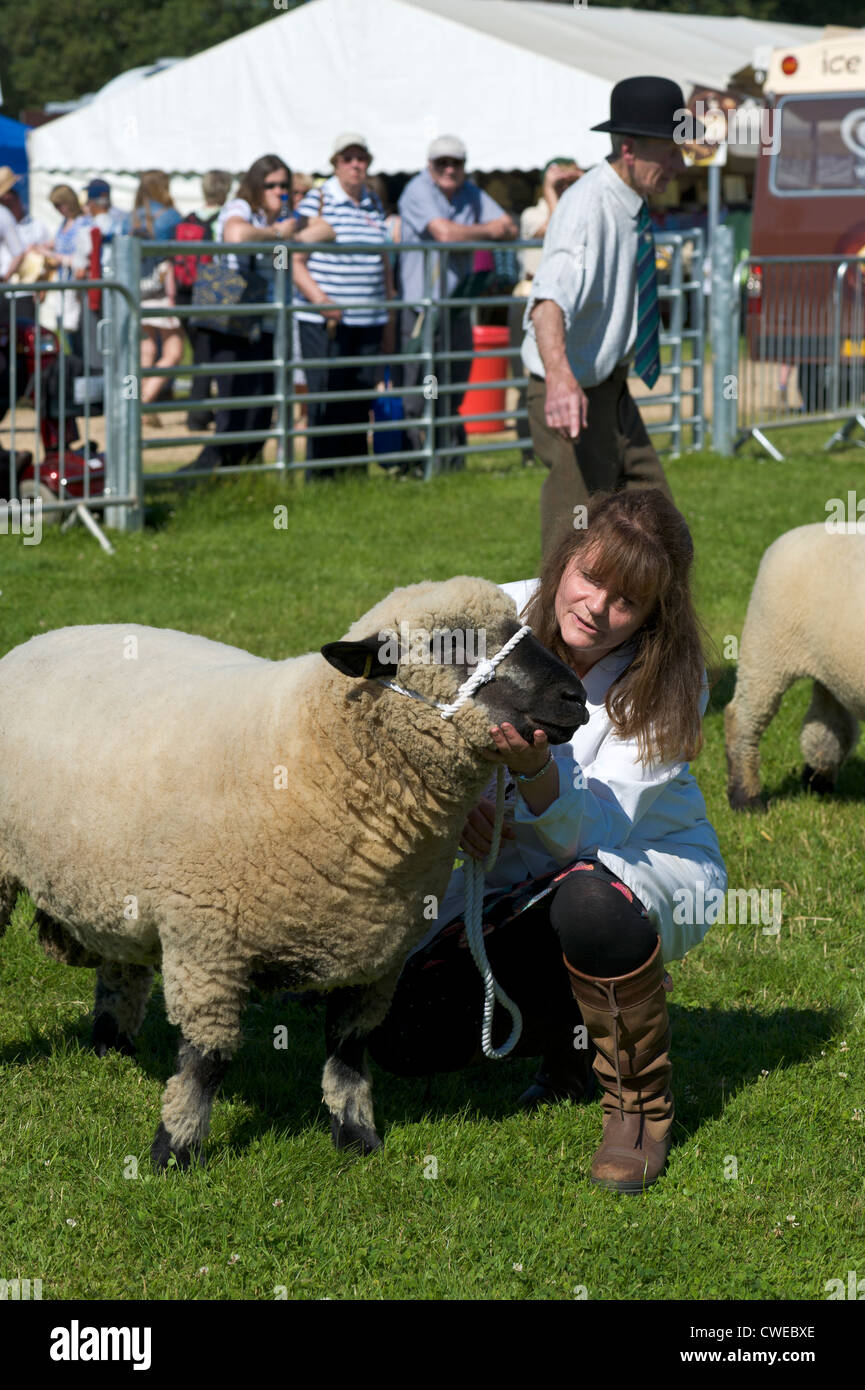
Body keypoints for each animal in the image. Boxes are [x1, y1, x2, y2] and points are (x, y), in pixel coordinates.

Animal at [0, 575, 589, 1173]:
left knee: (120, 967)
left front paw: (356, 1138)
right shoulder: (208, 944)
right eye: (448, 643)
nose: (576, 698)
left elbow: (349, 1055)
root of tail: (42, 638)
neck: (317, 747)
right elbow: (206, 1061)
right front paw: (175, 1151)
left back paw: (112, 1045)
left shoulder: (377, 953)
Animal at [723, 522, 865, 806]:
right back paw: (746, 799)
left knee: (827, 725)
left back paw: (817, 783)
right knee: (743, 718)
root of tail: (794, 533)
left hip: (829, 665)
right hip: (767, 647)